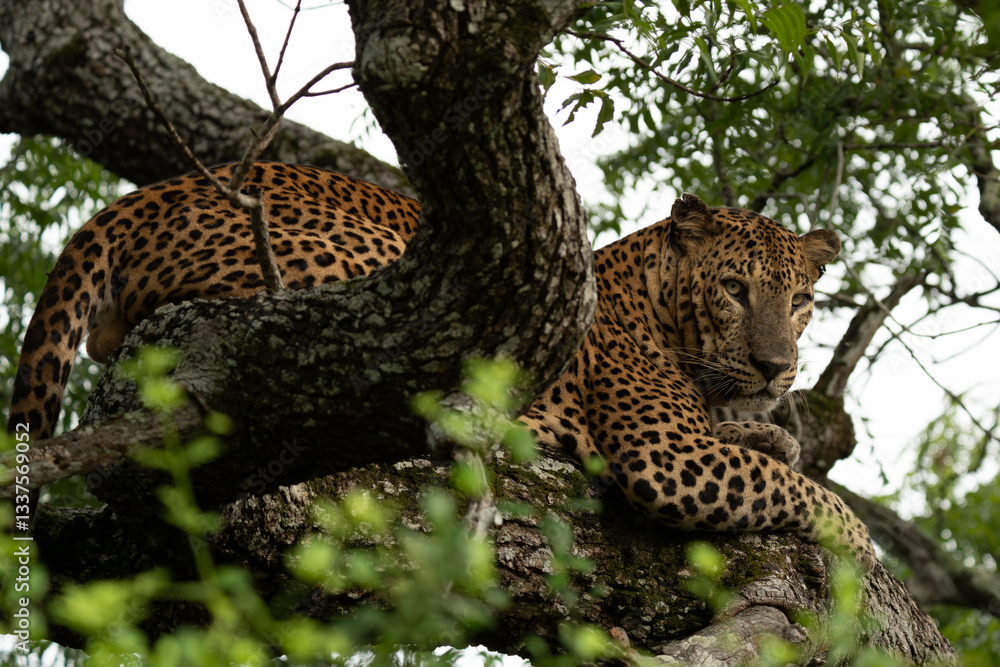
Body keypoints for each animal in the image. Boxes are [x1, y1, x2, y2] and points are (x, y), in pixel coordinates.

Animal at [6, 162, 875, 569]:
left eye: (802, 299)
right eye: (734, 289)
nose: (776, 366)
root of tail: (142, 197)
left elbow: (766, 455)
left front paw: (772, 435)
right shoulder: (666, 455)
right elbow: (785, 485)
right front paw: (857, 538)